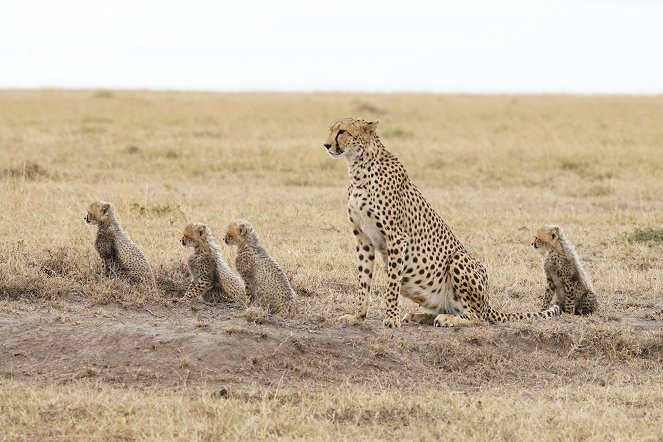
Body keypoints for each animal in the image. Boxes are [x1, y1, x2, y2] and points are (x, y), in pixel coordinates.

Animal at [326, 117, 560, 328]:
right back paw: (420, 316)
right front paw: (358, 316)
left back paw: (448, 320)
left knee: (477, 317)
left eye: (342, 131)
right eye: (331, 130)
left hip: (458, 259)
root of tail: (488, 302)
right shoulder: (363, 239)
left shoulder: (396, 237)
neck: (358, 168)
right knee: (450, 309)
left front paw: (391, 318)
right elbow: (363, 281)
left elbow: (391, 284)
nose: (327, 145)